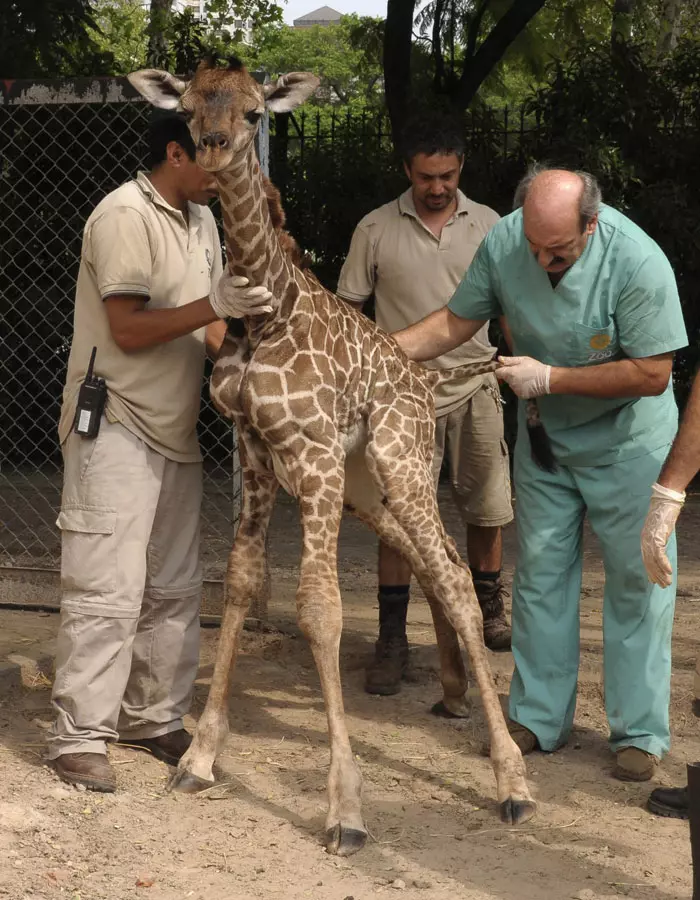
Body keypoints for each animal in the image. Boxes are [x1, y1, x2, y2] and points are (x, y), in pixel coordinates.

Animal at [129, 58, 532, 856]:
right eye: (189, 109)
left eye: (255, 112)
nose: (215, 147)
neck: (265, 314)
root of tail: (424, 382)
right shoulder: (257, 452)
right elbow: (243, 586)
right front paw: (198, 759)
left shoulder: (311, 455)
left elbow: (320, 608)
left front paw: (346, 810)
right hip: (370, 486)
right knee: (438, 562)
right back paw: (458, 702)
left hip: (400, 463)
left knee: (457, 577)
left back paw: (513, 782)